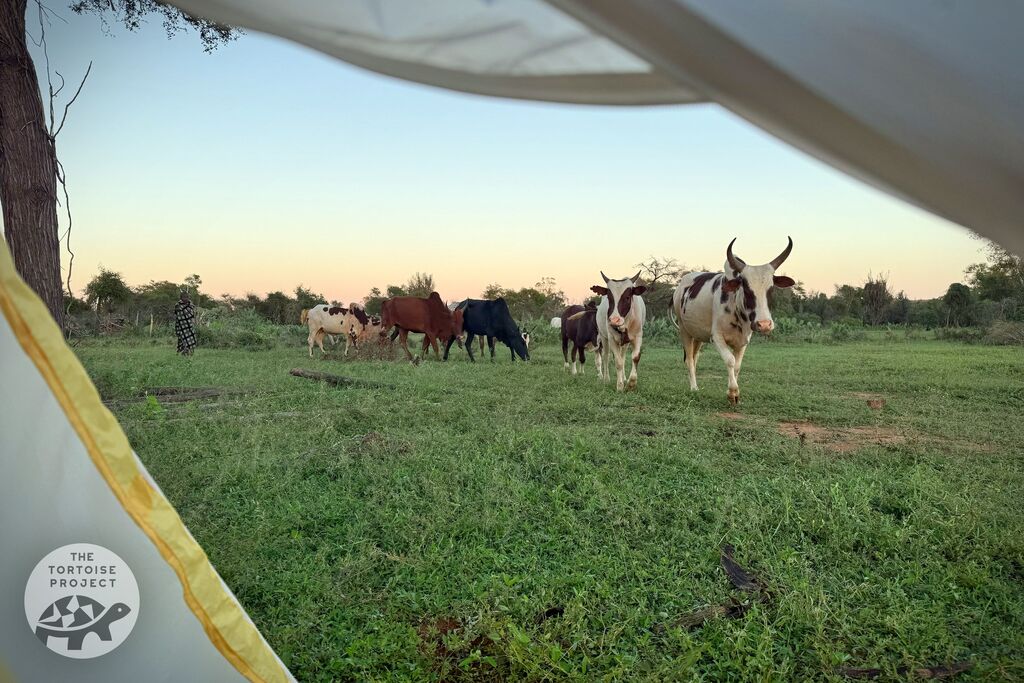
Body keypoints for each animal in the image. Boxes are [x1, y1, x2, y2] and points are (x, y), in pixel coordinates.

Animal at [670, 237, 795, 404]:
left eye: (771, 289)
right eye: (746, 288)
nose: (764, 324)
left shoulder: (743, 341)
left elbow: (737, 365)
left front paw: (734, 392)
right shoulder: (716, 337)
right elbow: (730, 360)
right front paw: (732, 392)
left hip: (698, 336)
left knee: (695, 357)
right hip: (684, 331)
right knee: (689, 359)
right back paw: (694, 388)